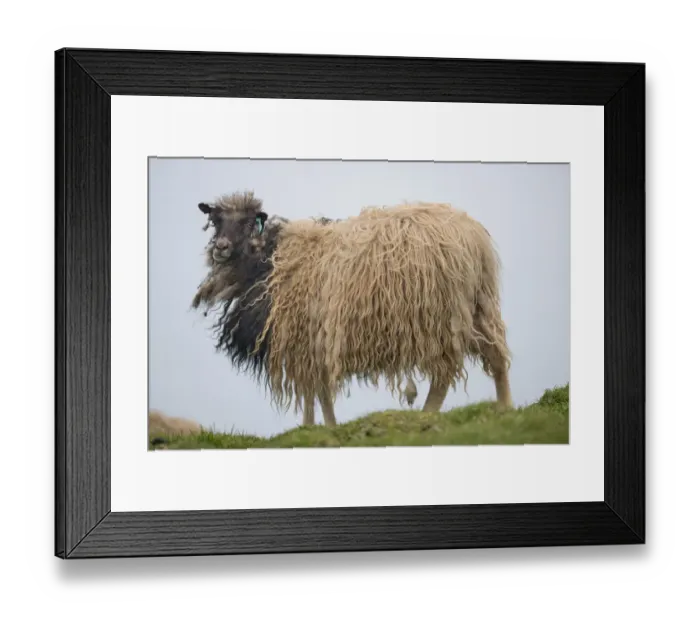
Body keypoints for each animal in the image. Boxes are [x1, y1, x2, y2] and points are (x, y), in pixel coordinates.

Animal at [192, 191, 513, 428]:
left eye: (248, 223)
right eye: (216, 220)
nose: (221, 247)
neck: (271, 260)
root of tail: (473, 237)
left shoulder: (302, 336)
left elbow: (314, 391)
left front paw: (315, 428)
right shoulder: (313, 340)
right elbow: (319, 390)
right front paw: (325, 427)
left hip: (439, 315)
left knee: (444, 373)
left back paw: (427, 415)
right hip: (479, 307)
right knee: (496, 355)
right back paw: (505, 408)